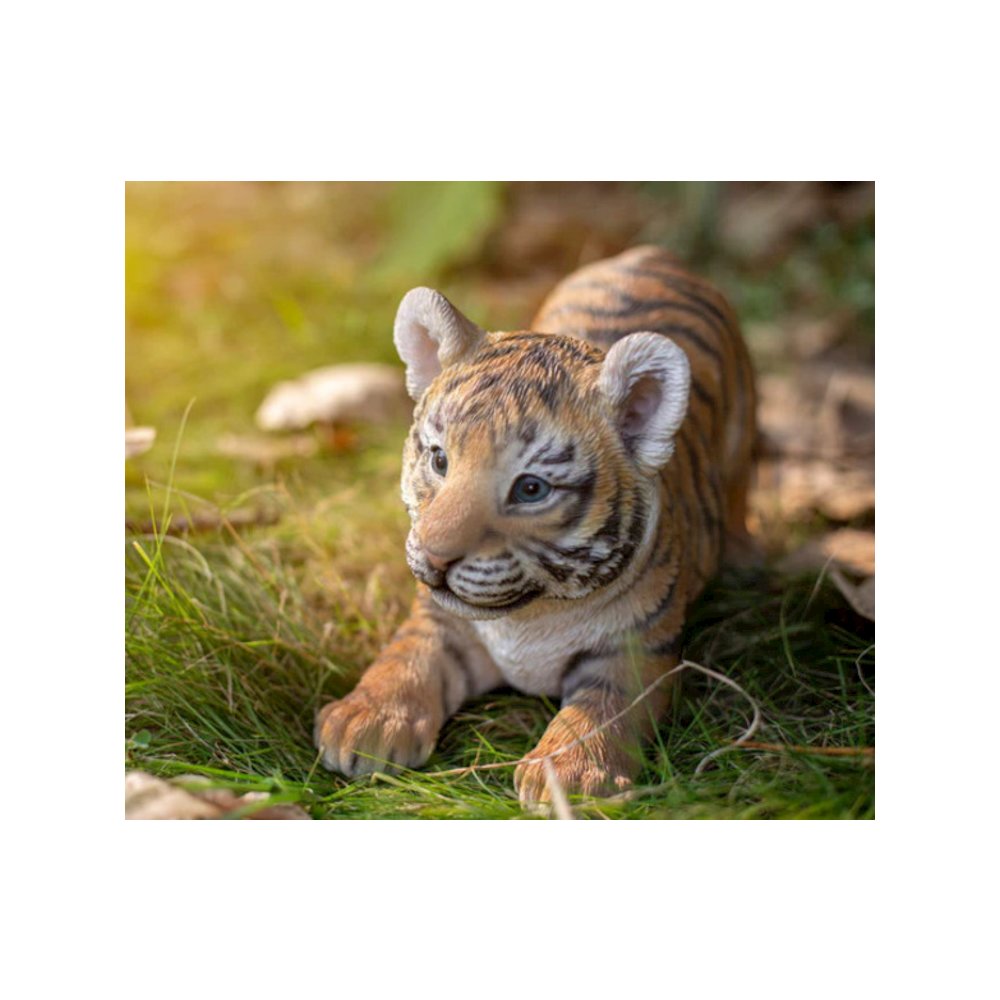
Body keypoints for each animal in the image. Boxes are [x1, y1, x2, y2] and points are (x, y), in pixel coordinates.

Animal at [314, 245, 756, 804]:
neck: (532, 614)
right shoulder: (442, 623)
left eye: (530, 489)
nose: (435, 557)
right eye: (439, 460)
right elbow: (403, 657)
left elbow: (601, 711)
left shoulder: (636, 650)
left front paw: (572, 774)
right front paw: (365, 720)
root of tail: (653, 254)